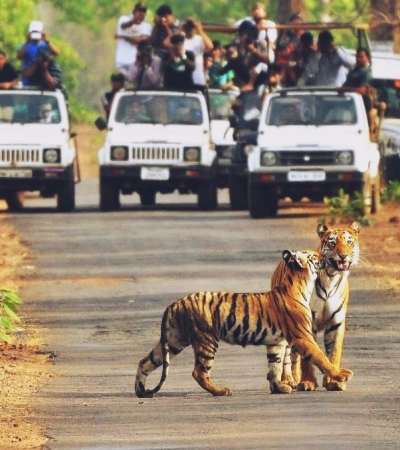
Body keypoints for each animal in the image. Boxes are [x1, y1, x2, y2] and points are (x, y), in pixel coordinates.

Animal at [135, 250, 354, 398]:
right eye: (314, 255)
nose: (324, 255)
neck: (301, 284)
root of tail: (175, 303)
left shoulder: (276, 342)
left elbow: (274, 366)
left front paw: (278, 388)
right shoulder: (302, 336)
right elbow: (320, 357)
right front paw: (341, 375)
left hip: (174, 340)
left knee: (145, 361)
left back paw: (141, 391)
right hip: (206, 339)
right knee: (199, 372)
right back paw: (221, 391)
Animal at [270, 221, 360, 390]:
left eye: (349, 242)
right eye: (332, 243)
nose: (343, 255)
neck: (331, 276)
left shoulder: (336, 323)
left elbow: (333, 353)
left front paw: (333, 382)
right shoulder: (307, 323)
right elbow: (308, 358)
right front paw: (308, 382)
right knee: (287, 355)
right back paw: (288, 380)